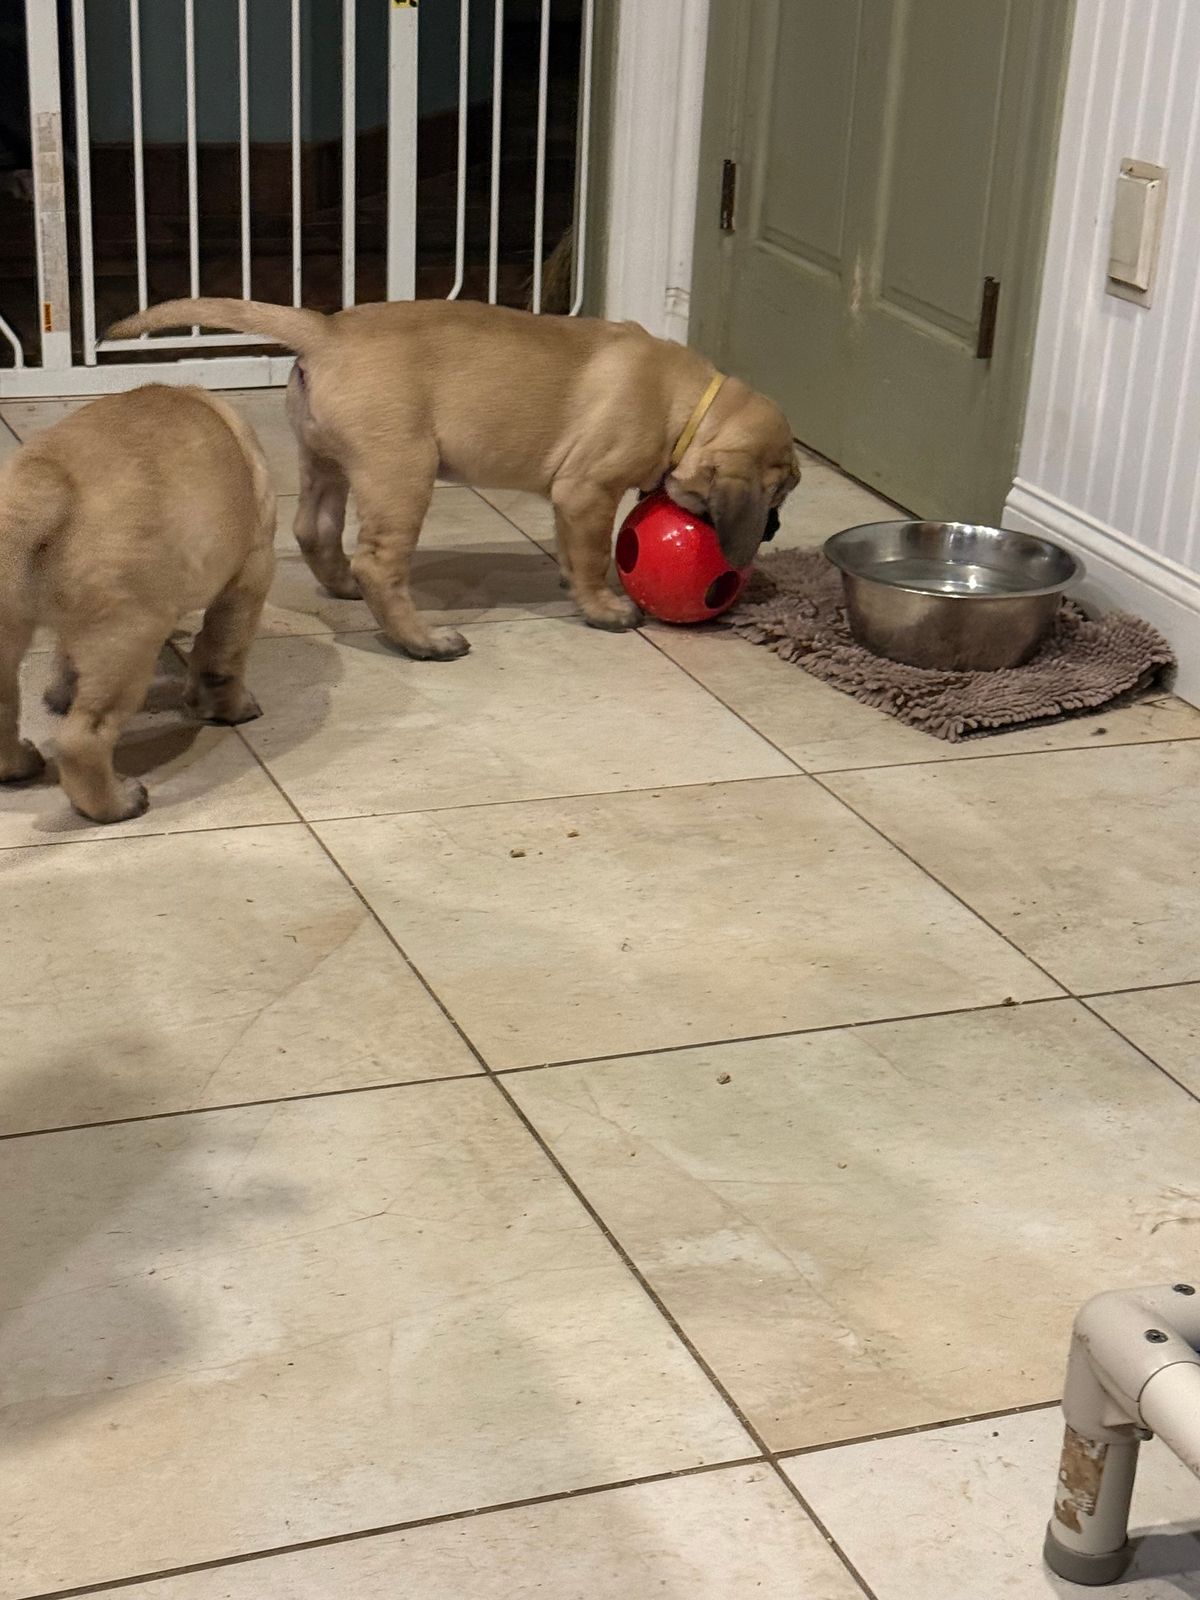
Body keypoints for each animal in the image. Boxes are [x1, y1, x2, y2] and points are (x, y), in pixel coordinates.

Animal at [0, 385, 275, 823]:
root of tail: (40, 485)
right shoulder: (250, 575)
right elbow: (222, 658)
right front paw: (231, 708)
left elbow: (65, 656)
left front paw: (60, 691)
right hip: (128, 638)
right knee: (83, 738)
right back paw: (118, 802)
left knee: (5, 706)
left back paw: (18, 765)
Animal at [107, 298, 800, 661]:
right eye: (781, 490)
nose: (772, 529)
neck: (687, 407)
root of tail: (325, 332)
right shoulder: (587, 489)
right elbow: (592, 551)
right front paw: (604, 606)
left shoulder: (572, 497)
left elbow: (574, 547)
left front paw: (570, 579)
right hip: (403, 472)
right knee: (378, 563)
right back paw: (424, 641)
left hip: (325, 462)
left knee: (315, 530)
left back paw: (342, 587)